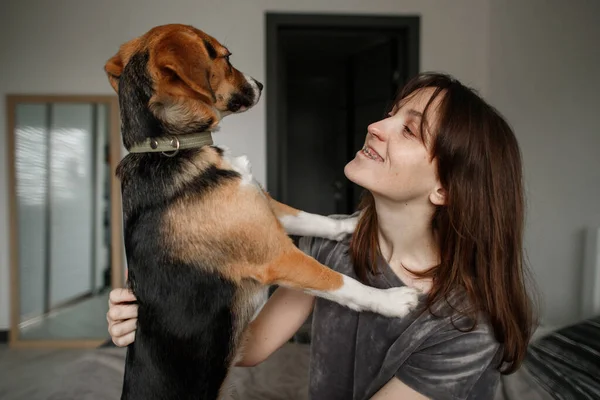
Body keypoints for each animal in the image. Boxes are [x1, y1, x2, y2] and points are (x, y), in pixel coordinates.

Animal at [103, 24, 420, 400]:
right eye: (226, 57)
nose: (261, 84)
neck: (170, 148)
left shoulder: (263, 206)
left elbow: (311, 218)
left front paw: (348, 224)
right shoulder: (278, 256)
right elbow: (341, 283)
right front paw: (392, 301)